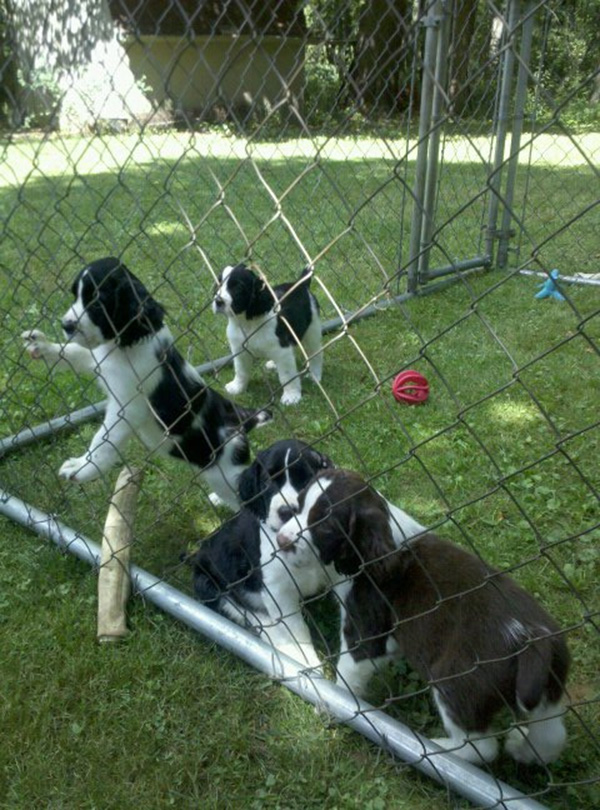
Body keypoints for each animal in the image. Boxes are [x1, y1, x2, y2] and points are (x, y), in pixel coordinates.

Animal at [21, 256, 270, 508]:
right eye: (75, 296)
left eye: (98, 303)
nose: (67, 326)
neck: (124, 346)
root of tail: (242, 419)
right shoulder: (99, 360)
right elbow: (72, 352)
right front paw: (42, 346)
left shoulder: (128, 407)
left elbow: (103, 441)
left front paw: (82, 469)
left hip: (224, 469)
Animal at [189, 438, 332, 664]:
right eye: (266, 481)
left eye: (307, 477)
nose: (287, 511)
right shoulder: (277, 590)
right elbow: (297, 629)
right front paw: (309, 664)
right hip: (208, 583)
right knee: (248, 613)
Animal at [212, 264, 324, 404]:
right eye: (218, 285)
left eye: (237, 288)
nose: (218, 301)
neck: (248, 323)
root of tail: (301, 284)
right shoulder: (239, 349)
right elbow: (240, 370)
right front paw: (237, 387)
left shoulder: (282, 351)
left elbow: (287, 375)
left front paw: (291, 396)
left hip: (312, 330)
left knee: (315, 353)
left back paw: (315, 375)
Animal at [276, 468, 572, 764]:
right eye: (297, 507)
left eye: (324, 527)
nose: (281, 541)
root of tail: (530, 638)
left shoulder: (364, 631)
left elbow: (348, 676)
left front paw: (333, 706)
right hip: (547, 686)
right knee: (552, 733)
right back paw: (523, 749)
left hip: (456, 682)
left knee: (483, 748)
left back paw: (437, 750)